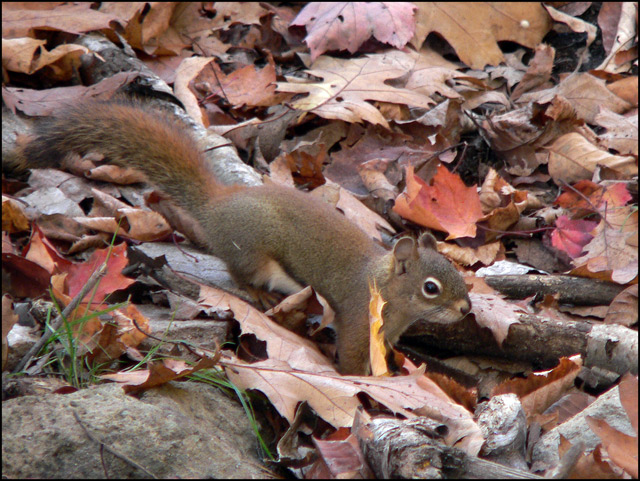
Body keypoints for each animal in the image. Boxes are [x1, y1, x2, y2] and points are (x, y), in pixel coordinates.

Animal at [5, 99, 470, 374]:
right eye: (431, 287)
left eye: (457, 274)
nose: (466, 309)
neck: (384, 287)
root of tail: (217, 205)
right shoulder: (357, 319)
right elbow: (354, 360)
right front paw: (364, 386)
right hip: (254, 251)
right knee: (239, 274)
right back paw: (259, 295)